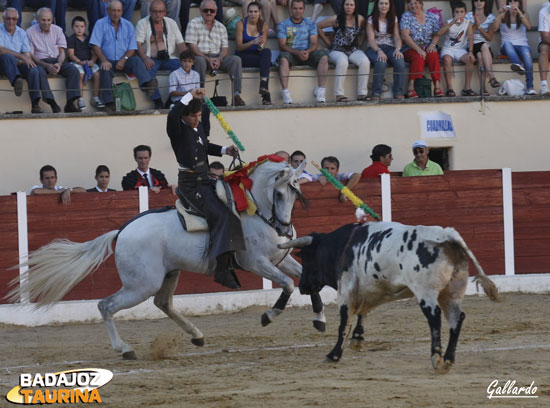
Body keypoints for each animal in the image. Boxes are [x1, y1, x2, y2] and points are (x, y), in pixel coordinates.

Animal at [280, 222, 500, 372]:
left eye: (307, 258)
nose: (302, 287)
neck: (342, 246)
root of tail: (447, 235)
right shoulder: (369, 289)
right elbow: (363, 313)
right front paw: (357, 340)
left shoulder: (346, 291)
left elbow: (344, 323)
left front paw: (334, 354)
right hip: (452, 293)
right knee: (456, 318)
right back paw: (447, 360)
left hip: (426, 292)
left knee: (435, 318)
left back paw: (436, 357)